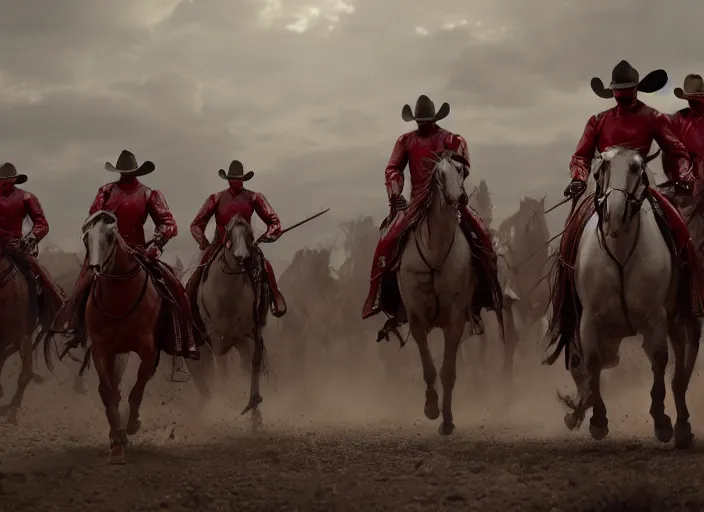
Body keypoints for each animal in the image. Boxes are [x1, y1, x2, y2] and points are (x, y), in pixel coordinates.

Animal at [82, 211, 164, 464]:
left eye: (110, 236)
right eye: (86, 238)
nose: (95, 268)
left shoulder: (148, 351)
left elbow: (137, 389)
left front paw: (132, 424)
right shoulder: (102, 350)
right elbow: (109, 392)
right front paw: (117, 443)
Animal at [188, 214, 268, 430]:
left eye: (249, 235)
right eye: (230, 235)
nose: (242, 257)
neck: (228, 293)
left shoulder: (249, 335)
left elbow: (253, 367)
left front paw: (255, 413)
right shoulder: (216, 340)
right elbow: (221, 373)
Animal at [398, 149, 486, 436]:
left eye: (461, 170)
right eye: (439, 175)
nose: (459, 199)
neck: (436, 250)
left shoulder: (456, 320)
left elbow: (448, 372)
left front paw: (446, 420)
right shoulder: (416, 316)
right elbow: (428, 367)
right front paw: (431, 407)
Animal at [556, 148, 700, 448]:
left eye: (637, 168)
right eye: (601, 169)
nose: (616, 212)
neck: (620, 250)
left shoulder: (655, 317)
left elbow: (659, 360)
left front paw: (661, 420)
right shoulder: (590, 319)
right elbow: (592, 362)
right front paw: (597, 419)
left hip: (679, 316)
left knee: (682, 362)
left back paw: (682, 424)